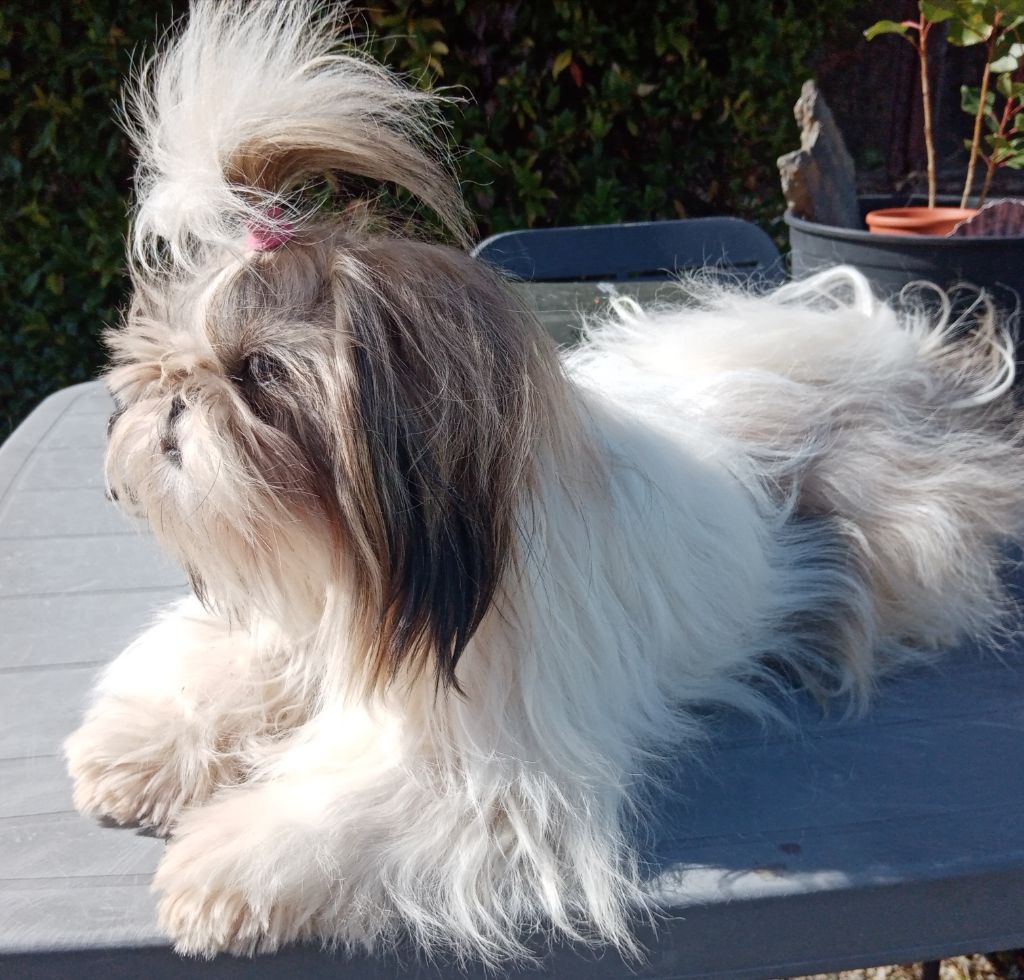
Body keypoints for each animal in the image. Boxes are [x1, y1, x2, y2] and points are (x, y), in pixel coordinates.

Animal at [64, 0, 1024, 963]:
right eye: (154, 359)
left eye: (258, 373)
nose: (168, 405)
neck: (364, 570)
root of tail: (899, 355)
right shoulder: (301, 625)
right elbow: (220, 663)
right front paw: (137, 750)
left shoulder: (490, 772)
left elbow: (350, 803)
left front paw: (224, 868)